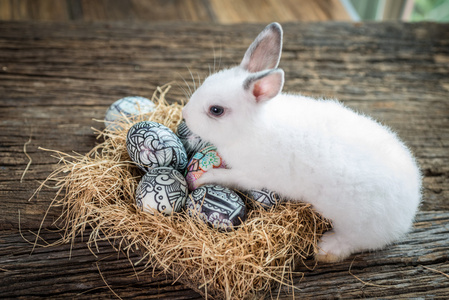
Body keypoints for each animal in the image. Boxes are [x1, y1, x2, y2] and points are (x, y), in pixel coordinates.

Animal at [181, 22, 420, 262]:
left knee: (355, 242)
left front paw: (202, 180)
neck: (251, 127)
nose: (184, 114)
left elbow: (226, 177)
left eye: (216, 110)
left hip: (356, 224)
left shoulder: (249, 175)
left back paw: (326, 249)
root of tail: (409, 211)